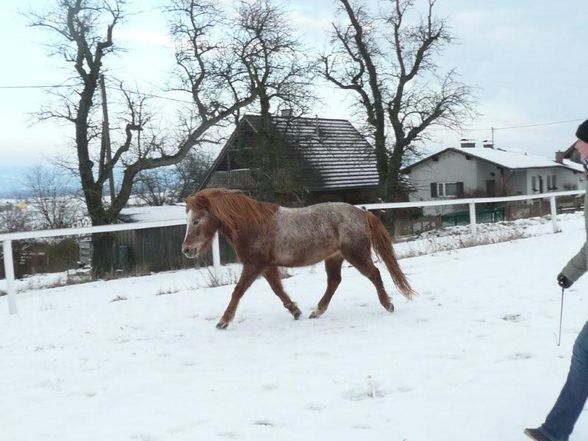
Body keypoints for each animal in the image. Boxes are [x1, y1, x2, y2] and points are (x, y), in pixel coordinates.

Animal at [181, 187, 416, 328]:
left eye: (196, 220)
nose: (186, 250)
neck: (253, 225)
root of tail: (361, 212)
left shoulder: (254, 265)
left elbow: (238, 291)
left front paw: (223, 321)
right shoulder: (267, 266)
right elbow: (278, 290)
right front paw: (295, 311)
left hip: (355, 254)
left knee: (374, 274)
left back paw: (387, 304)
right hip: (334, 257)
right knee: (334, 281)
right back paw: (317, 311)